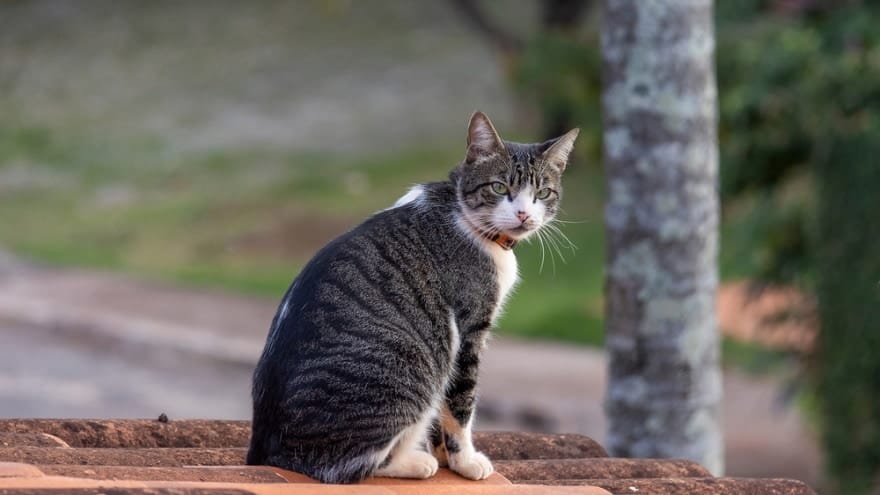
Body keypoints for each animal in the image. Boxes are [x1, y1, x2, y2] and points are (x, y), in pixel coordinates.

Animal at [248, 111, 576, 484]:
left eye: (542, 193)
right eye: (499, 187)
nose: (524, 214)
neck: (463, 214)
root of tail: (265, 451)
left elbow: (443, 414)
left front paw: (445, 454)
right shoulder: (468, 329)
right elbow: (461, 405)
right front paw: (465, 461)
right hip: (410, 367)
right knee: (347, 466)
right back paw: (414, 462)